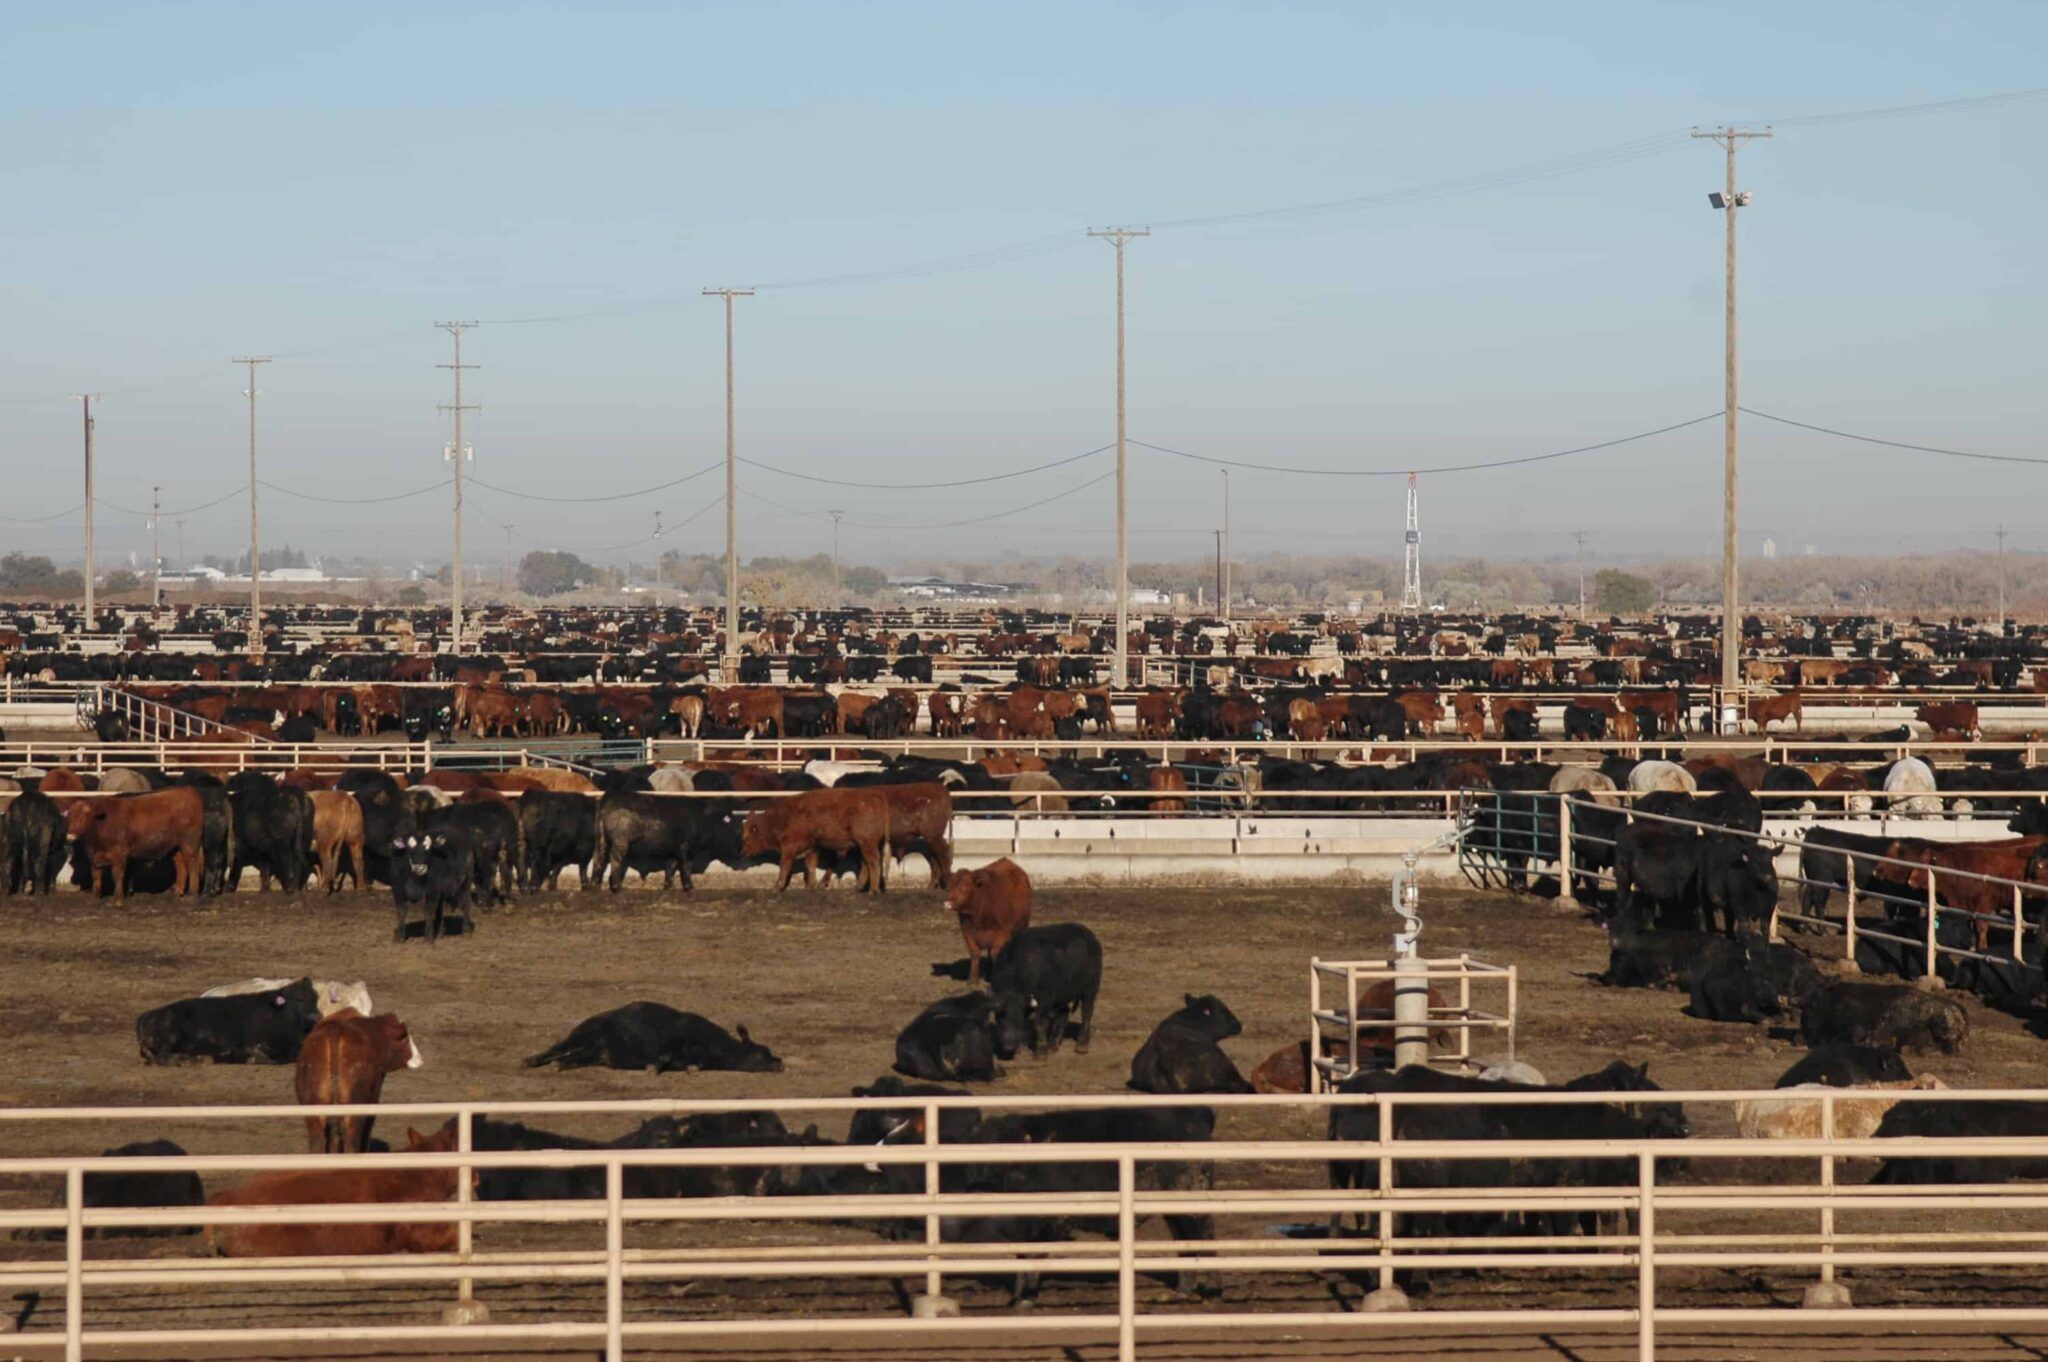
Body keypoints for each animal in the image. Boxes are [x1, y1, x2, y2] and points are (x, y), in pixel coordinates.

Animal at [66, 782, 205, 897]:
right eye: (70, 817)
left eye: (83, 817)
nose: (70, 835)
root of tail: (188, 789)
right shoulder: (95, 857)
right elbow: (96, 876)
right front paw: (96, 896)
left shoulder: (119, 854)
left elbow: (118, 875)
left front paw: (118, 897)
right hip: (175, 847)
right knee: (181, 866)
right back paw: (178, 891)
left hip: (189, 843)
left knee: (192, 864)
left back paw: (192, 894)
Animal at [520, 999, 782, 1073]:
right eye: (762, 1053)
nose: (780, 1063)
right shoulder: (673, 1038)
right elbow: (663, 1055)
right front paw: (653, 1067)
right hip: (582, 1034)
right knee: (557, 1047)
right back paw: (531, 1060)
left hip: (593, 1052)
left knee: (572, 1057)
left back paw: (561, 1065)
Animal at [991, 917, 1105, 1056]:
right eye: (1000, 1018)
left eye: (1018, 1019)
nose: (1008, 1046)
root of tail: (1091, 937)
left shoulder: (1044, 1000)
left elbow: (1040, 1023)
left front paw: (1040, 1052)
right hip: (1062, 995)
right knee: (1063, 1014)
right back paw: (1053, 1045)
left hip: (1090, 988)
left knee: (1087, 1011)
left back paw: (1081, 1046)